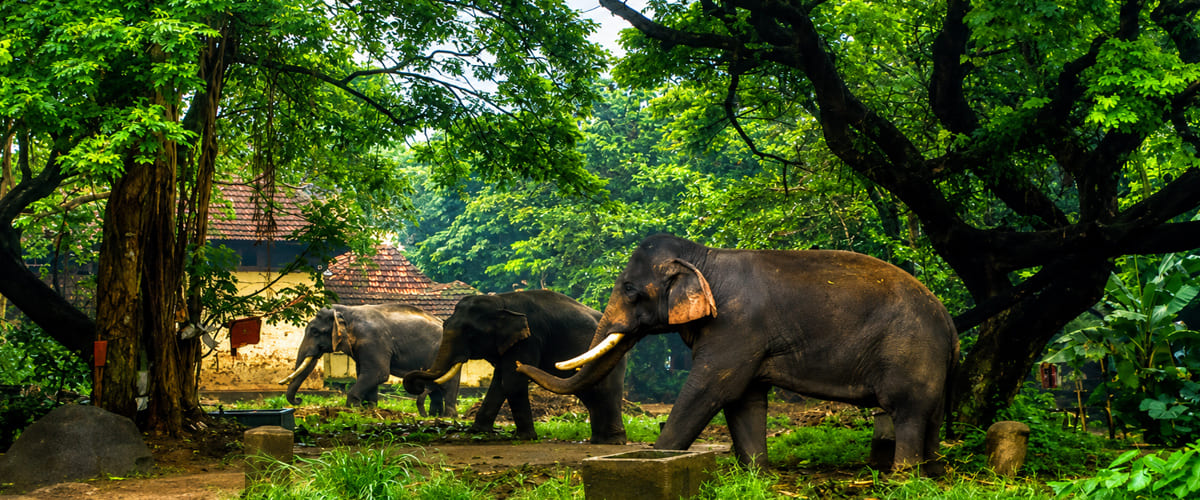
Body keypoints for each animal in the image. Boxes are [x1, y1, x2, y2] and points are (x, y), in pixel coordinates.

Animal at [278, 303, 460, 417]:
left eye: (315, 332)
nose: (299, 400)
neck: (346, 311)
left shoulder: (372, 340)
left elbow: (378, 373)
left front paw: (354, 408)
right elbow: (366, 374)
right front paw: (370, 409)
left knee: (447, 385)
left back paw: (448, 417)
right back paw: (434, 416)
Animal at [403, 290, 627, 444]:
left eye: (470, 333)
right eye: (445, 324)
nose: (418, 385)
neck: (502, 302)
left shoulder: (529, 339)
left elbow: (512, 381)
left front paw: (524, 437)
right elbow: (499, 382)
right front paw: (477, 431)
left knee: (604, 389)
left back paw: (613, 441)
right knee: (591, 392)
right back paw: (600, 440)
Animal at [518, 234, 959, 471]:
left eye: (629, 288)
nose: (521, 363)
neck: (702, 256)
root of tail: (949, 323)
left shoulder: (736, 327)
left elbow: (713, 389)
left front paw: (657, 458)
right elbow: (745, 399)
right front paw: (755, 474)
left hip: (910, 351)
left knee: (907, 411)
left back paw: (902, 474)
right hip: (929, 360)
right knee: (931, 414)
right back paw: (930, 472)